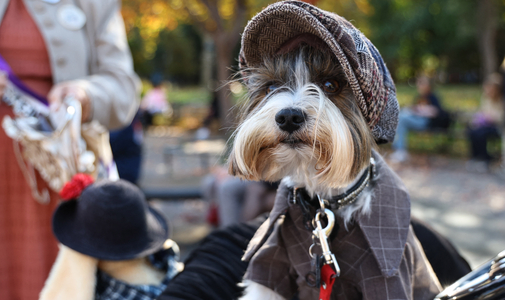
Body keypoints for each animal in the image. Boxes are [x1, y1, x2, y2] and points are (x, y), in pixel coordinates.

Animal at [227, 1, 440, 298]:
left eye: (330, 85)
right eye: (271, 87)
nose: (288, 116)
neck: (323, 201)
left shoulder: (388, 280)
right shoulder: (270, 262)